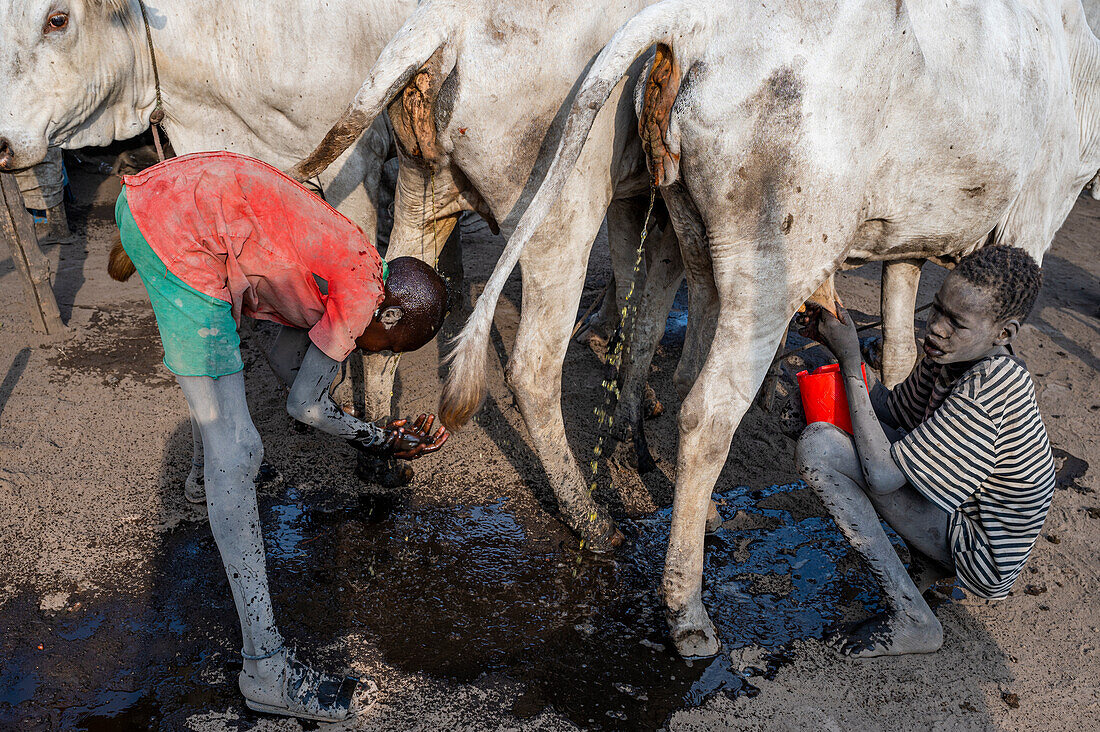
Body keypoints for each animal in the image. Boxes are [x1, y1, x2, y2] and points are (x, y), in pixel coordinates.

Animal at [288, 0, 677, 548]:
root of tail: (443, 24)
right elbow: (650, 323)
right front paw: (638, 440)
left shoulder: (638, 199)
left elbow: (631, 294)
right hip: (559, 212)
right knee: (532, 370)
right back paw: (591, 520)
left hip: (424, 191)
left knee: (382, 331)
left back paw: (384, 462)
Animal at [442, 0, 1100, 651]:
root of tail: (688, 20)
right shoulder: (1033, 214)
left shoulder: (910, 239)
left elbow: (901, 347)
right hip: (769, 252)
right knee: (699, 410)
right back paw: (685, 609)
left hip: (695, 234)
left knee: (679, 371)